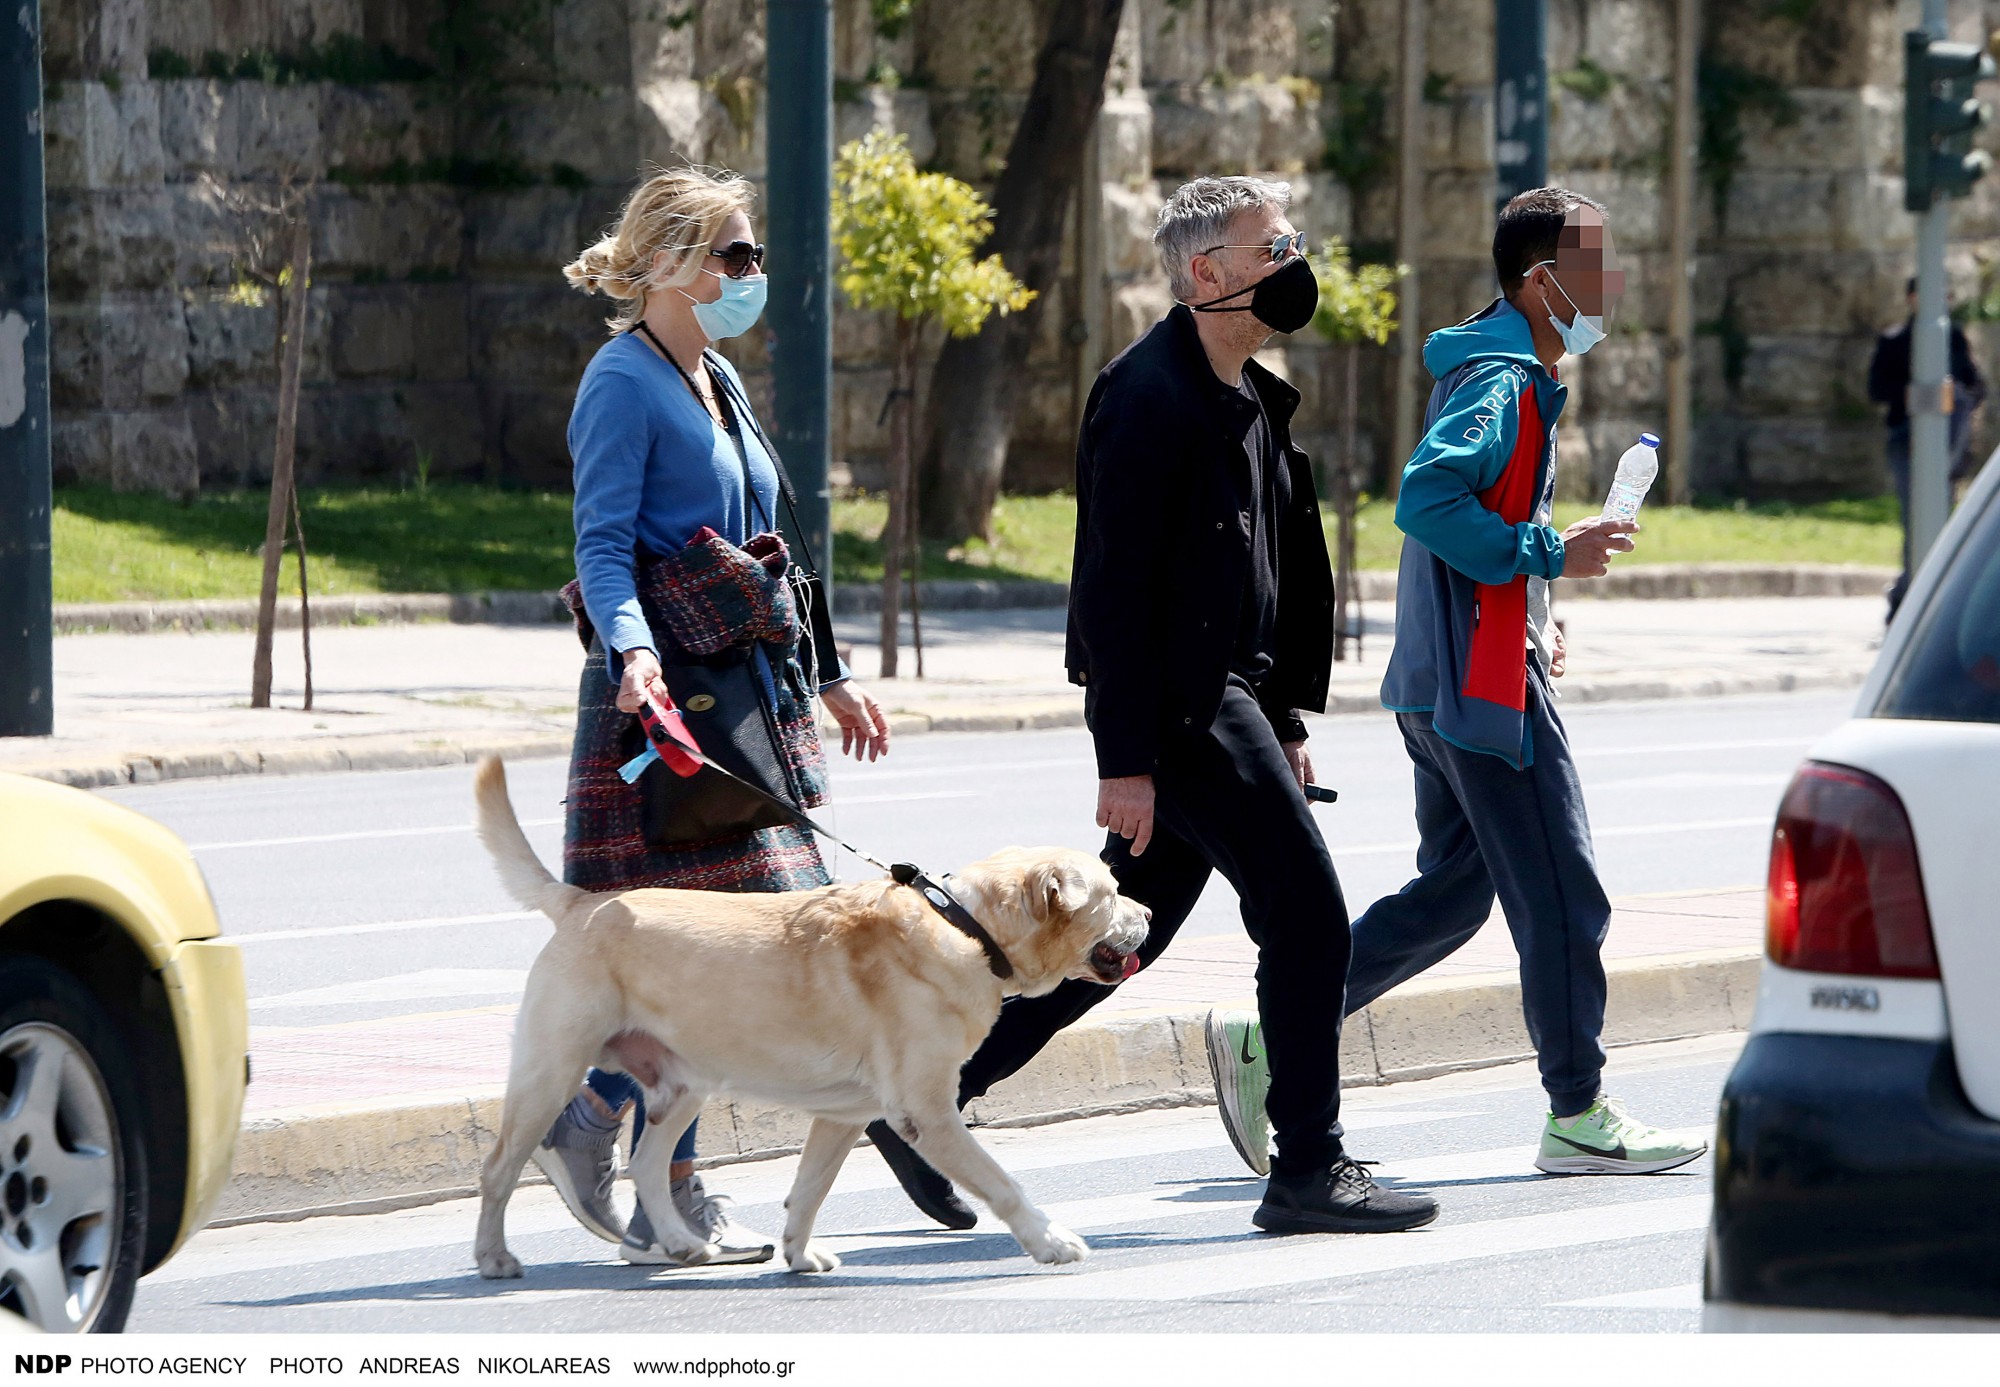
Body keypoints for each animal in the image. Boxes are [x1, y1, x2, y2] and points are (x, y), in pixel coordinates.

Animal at [470, 759, 1152, 1279]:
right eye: (1112, 892)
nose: (1146, 913)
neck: (967, 926)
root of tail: (581, 902)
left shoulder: (843, 1116)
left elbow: (810, 1188)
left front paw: (798, 1252)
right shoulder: (926, 1111)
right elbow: (1000, 1180)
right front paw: (1050, 1239)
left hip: (684, 1085)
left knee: (647, 1164)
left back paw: (682, 1243)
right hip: (551, 1070)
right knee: (499, 1167)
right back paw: (495, 1256)